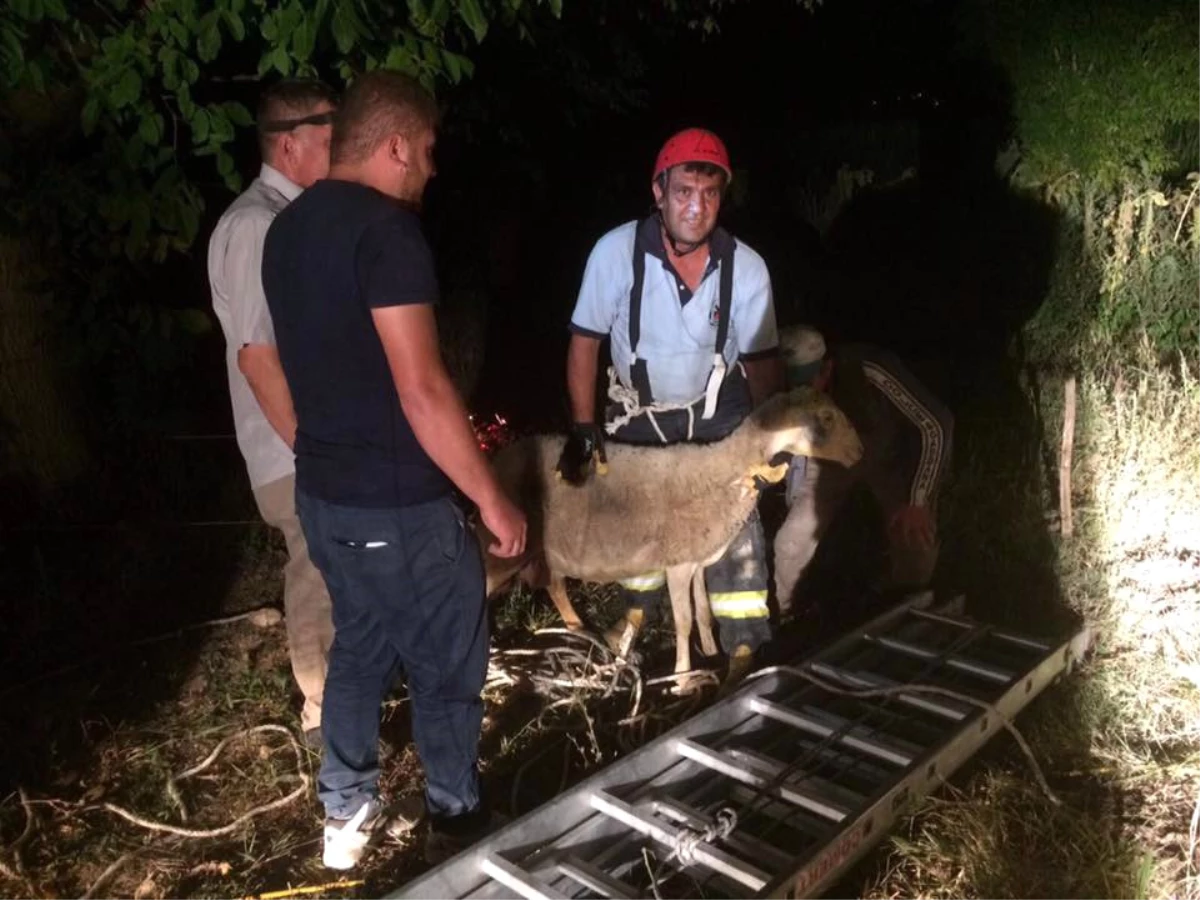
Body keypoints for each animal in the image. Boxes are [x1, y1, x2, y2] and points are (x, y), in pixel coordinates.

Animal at [477, 386, 864, 676]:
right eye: (827, 417)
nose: (860, 453)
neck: (725, 471)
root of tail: (500, 458)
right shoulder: (677, 564)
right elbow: (684, 621)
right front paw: (683, 676)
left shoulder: (697, 561)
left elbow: (704, 612)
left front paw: (711, 653)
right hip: (504, 549)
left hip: (549, 551)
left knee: (555, 586)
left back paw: (579, 630)